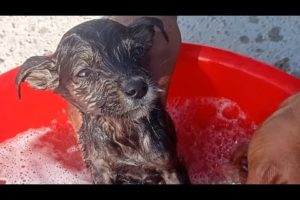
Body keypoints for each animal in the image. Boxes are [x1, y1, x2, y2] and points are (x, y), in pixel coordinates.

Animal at [15, 17, 188, 184]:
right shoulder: (101, 170)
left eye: (137, 52)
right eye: (84, 73)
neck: (123, 131)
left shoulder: (170, 167)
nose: (138, 88)